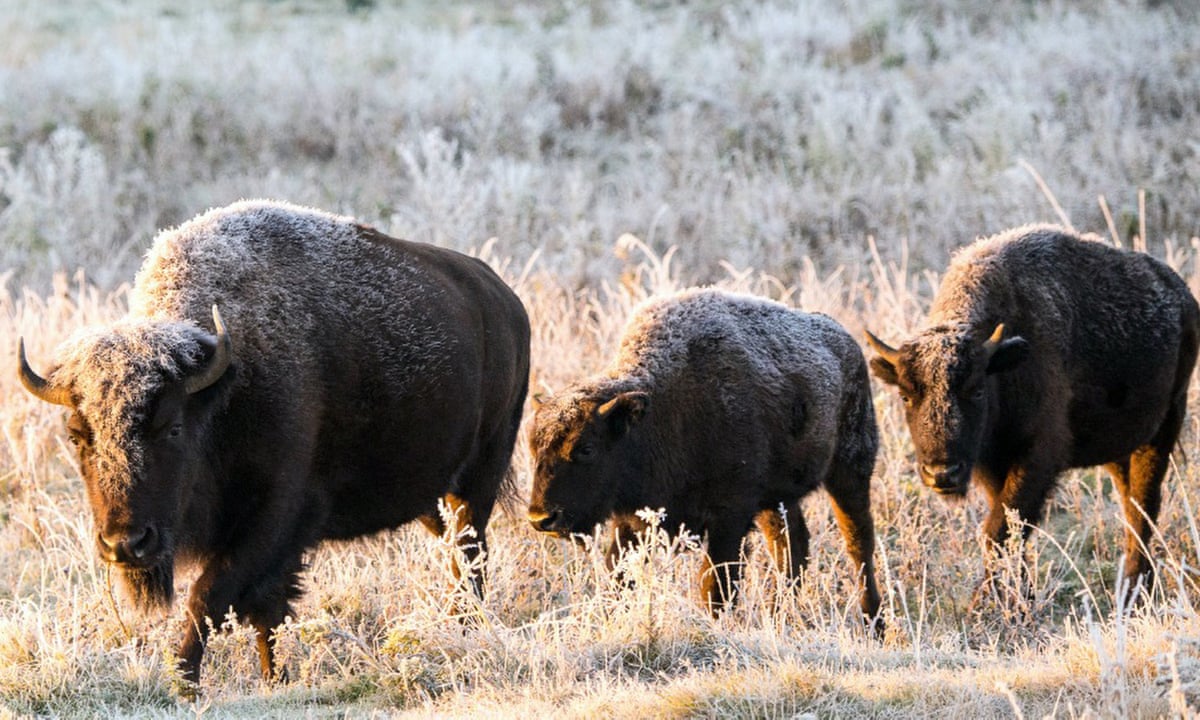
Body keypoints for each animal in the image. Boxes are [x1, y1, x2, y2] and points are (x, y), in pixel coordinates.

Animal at [18, 200, 530, 687]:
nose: (125, 544)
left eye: (173, 428)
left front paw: (183, 683)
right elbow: (265, 612)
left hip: (479, 478)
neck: (224, 385)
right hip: (431, 498)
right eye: (77, 436)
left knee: (470, 555)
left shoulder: (275, 519)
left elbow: (210, 598)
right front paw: (272, 677)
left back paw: (467, 627)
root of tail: (506, 302)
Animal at [528, 288, 881, 625]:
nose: (541, 518)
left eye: (586, 448)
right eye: (533, 448)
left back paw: (873, 620)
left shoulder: (730, 516)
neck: (661, 410)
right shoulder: (632, 521)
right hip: (777, 499)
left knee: (858, 542)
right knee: (791, 546)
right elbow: (620, 575)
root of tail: (847, 343)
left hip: (850, 470)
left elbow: (715, 586)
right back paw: (781, 613)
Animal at [866, 225, 1199, 603]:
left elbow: (1002, 527)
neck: (1004, 361)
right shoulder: (992, 464)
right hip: (1120, 449)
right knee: (1132, 506)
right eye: (906, 396)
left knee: (1145, 506)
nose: (942, 474)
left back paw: (1132, 590)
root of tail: (1183, 296)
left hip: (1163, 429)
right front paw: (1018, 595)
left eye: (977, 390)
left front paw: (987, 602)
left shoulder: (1038, 457)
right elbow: (1008, 525)